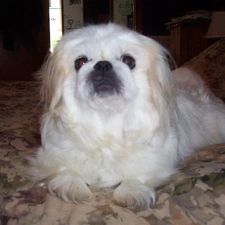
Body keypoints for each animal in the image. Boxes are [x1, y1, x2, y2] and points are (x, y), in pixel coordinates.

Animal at [29, 23, 225, 209]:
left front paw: (132, 190)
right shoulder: (51, 153)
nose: (102, 64)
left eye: (128, 60)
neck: (107, 121)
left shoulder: (159, 159)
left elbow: (139, 173)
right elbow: (64, 168)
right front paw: (71, 184)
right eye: (81, 62)